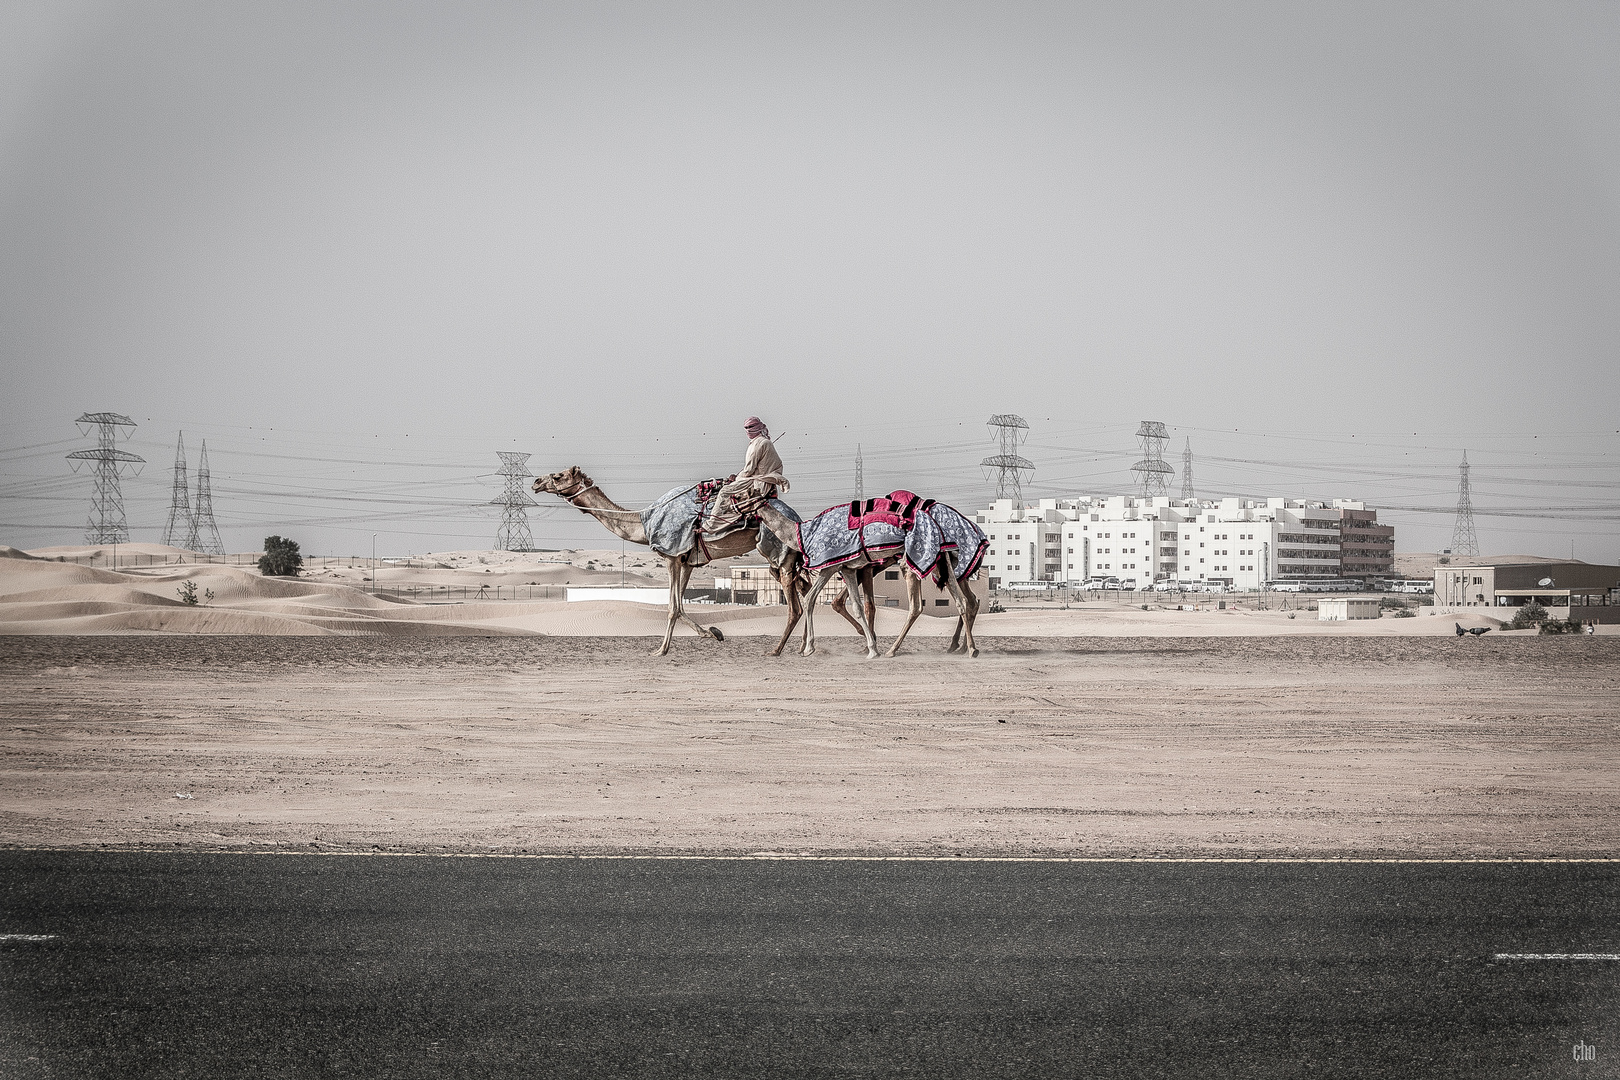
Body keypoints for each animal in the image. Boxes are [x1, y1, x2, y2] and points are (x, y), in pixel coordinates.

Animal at [534, 466, 806, 660]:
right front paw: (713, 633)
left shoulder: (671, 556)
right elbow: (681, 606)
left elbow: (672, 607)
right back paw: (803, 647)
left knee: (795, 608)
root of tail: (797, 518)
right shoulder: (687, 560)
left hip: (780, 552)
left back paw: (777, 650)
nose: (536, 482)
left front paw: (661, 650)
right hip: (784, 560)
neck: (644, 521)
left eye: (557, 476)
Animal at [751, 498, 978, 660]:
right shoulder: (848, 568)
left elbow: (812, 600)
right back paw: (970, 649)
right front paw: (871, 648)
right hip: (943, 563)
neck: (802, 534)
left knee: (917, 606)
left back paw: (894, 650)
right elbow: (856, 606)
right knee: (962, 601)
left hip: (912, 563)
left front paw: (808, 648)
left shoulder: (831, 566)